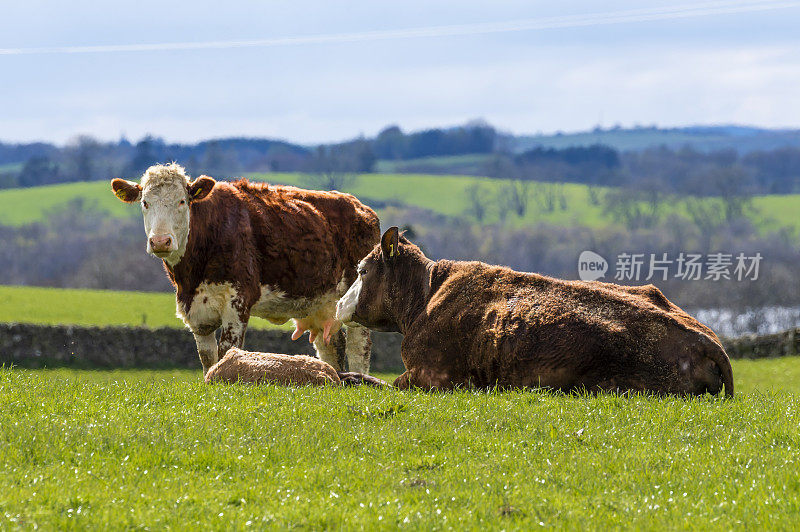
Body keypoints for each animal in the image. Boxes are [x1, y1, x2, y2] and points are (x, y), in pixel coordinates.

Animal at [110, 162, 382, 374]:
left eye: (182, 201)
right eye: (145, 203)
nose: (160, 241)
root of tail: (360, 207)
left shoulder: (238, 301)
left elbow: (227, 352)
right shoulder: (196, 314)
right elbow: (208, 359)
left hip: (356, 299)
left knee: (359, 346)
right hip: (322, 303)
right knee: (331, 347)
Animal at [334, 227, 736, 396]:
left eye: (362, 270)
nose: (338, 303)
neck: (424, 297)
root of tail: (705, 338)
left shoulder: (432, 375)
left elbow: (384, 384)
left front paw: (353, 378)